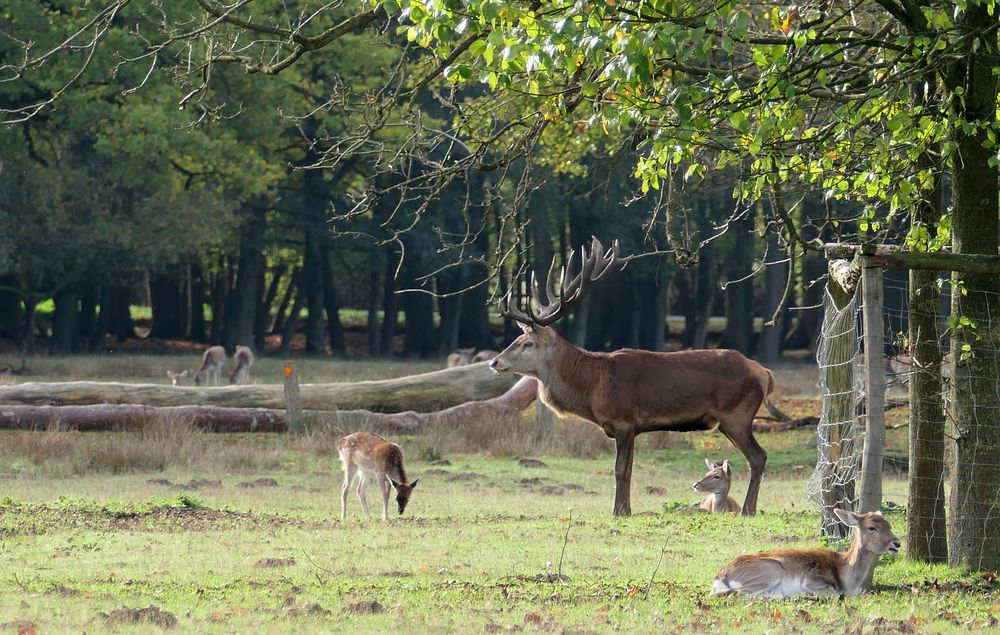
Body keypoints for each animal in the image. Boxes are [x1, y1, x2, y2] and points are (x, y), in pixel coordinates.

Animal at [492, 237, 772, 516]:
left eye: (528, 343)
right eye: (518, 339)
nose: (495, 361)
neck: (592, 389)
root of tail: (764, 372)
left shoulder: (623, 420)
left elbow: (619, 469)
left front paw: (618, 511)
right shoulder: (633, 427)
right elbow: (628, 469)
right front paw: (626, 509)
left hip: (736, 415)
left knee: (758, 456)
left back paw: (748, 509)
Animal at [708, 510, 904, 600]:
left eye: (889, 525)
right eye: (872, 527)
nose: (896, 543)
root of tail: (720, 577)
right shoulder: (812, 580)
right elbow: (836, 594)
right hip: (770, 570)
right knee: (740, 593)